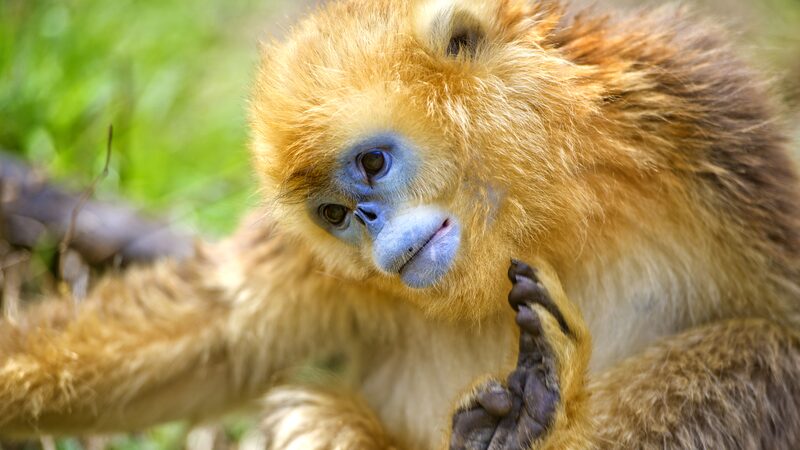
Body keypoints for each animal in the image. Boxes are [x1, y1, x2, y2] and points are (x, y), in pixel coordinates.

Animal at [2, 0, 800, 448]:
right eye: (332, 214)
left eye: (374, 164)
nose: (367, 220)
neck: (535, 218)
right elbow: (220, 330)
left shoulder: (695, 125)